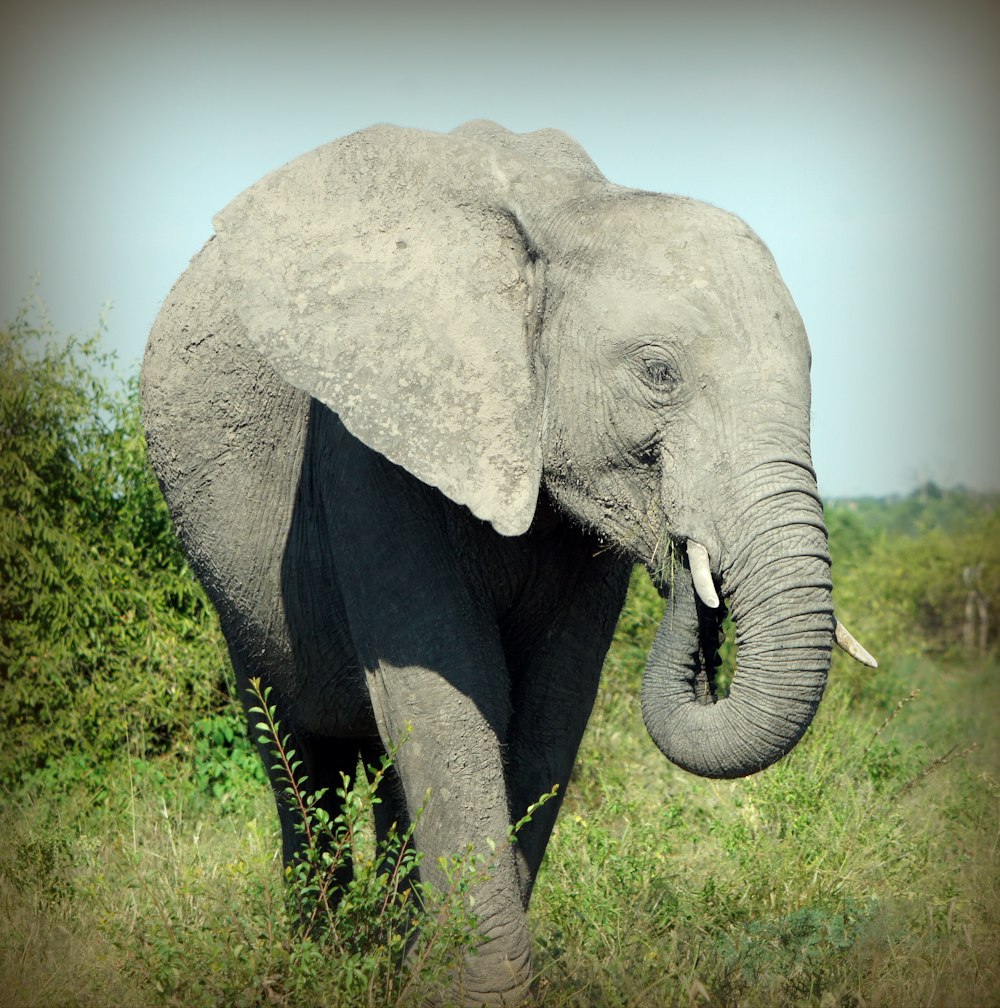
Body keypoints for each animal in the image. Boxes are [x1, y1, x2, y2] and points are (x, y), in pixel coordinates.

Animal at [141, 121, 875, 1003]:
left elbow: (550, 703)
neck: (563, 214)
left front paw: (435, 972)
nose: (690, 570)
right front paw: (468, 987)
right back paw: (325, 956)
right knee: (296, 752)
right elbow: (453, 689)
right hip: (232, 585)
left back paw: (392, 950)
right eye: (657, 373)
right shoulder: (369, 443)